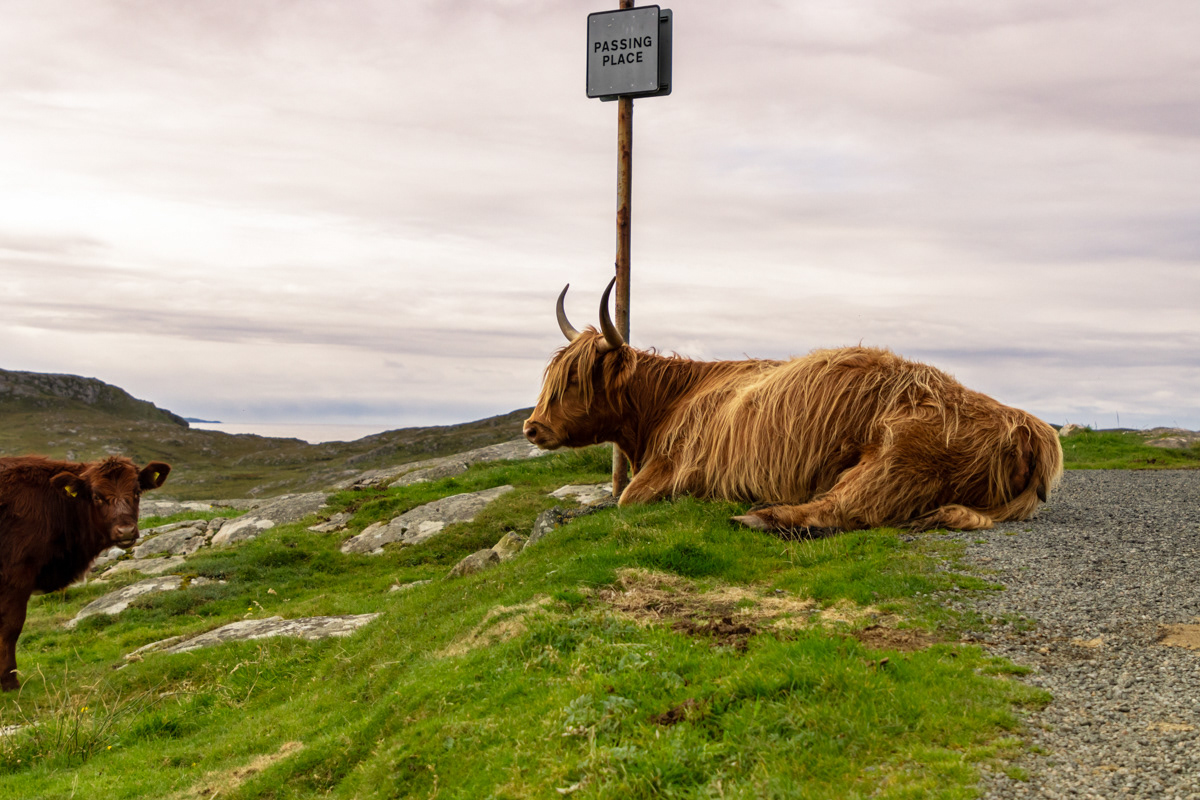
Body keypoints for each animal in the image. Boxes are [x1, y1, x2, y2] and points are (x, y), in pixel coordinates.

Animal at [0, 456, 170, 690]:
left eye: (136, 491)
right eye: (96, 496)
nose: (125, 531)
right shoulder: (15, 576)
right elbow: (11, 627)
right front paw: (8, 681)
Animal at [523, 279, 1062, 536]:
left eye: (575, 379)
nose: (532, 427)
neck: (667, 406)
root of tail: (1027, 426)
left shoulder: (669, 467)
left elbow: (626, 500)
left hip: (898, 458)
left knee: (845, 508)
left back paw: (756, 516)